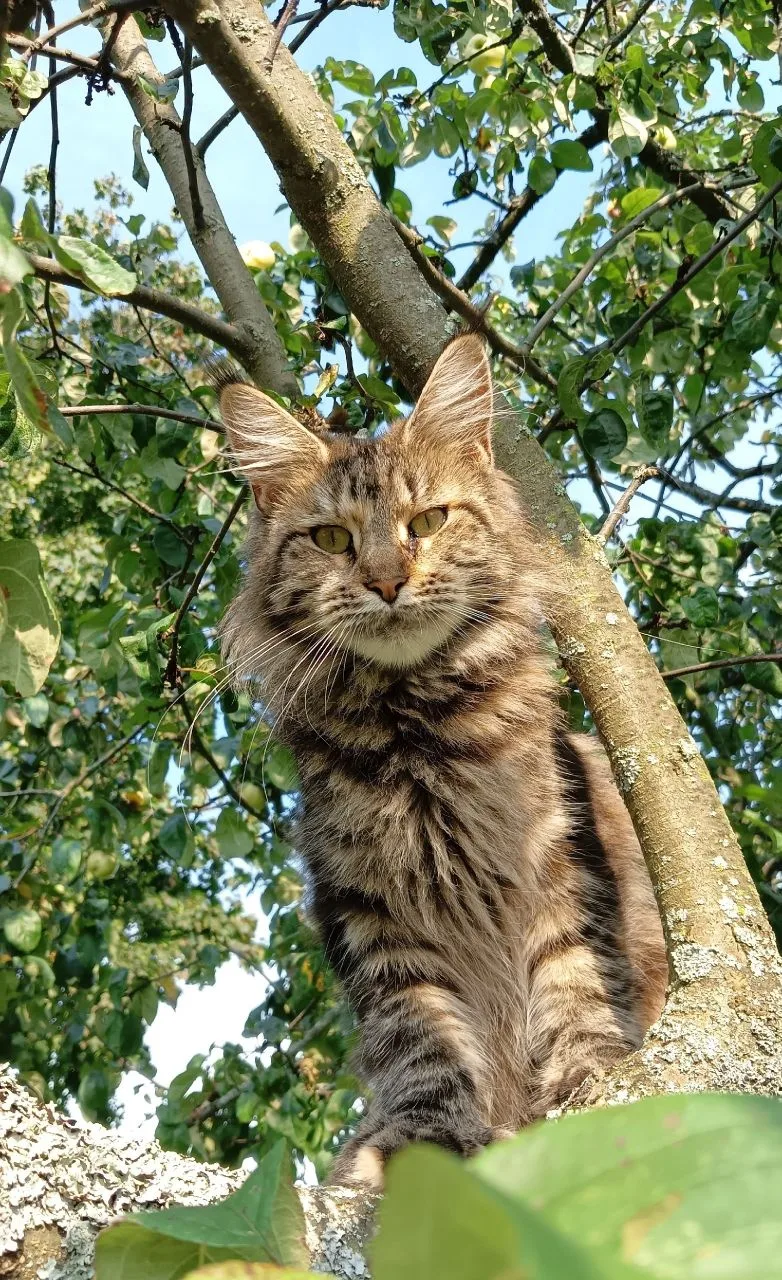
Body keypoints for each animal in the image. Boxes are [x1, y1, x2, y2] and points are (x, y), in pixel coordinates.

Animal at [218, 334, 667, 1189]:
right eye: (332, 540)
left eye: (427, 521)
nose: (387, 581)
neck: (419, 731)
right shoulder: (375, 920)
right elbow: (424, 1044)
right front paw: (418, 1140)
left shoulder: (563, 868)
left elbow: (577, 987)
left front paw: (588, 1083)